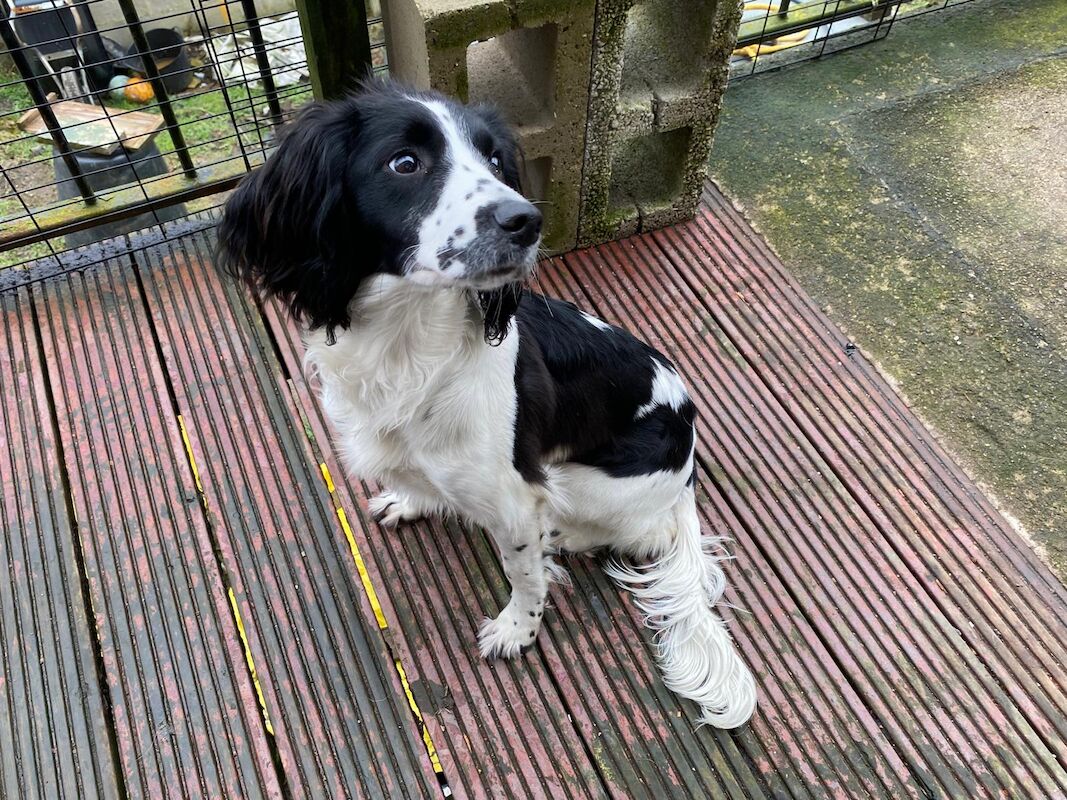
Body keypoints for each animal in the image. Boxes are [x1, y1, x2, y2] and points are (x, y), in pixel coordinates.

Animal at [216, 78, 755, 729]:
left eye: (496, 160)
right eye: (404, 163)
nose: (526, 220)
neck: (408, 347)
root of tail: (689, 473)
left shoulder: (516, 498)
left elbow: (523, 574)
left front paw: (517, 630)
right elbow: (417, 480)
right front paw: (410, 500)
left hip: (592, 482)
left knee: (639, 533)